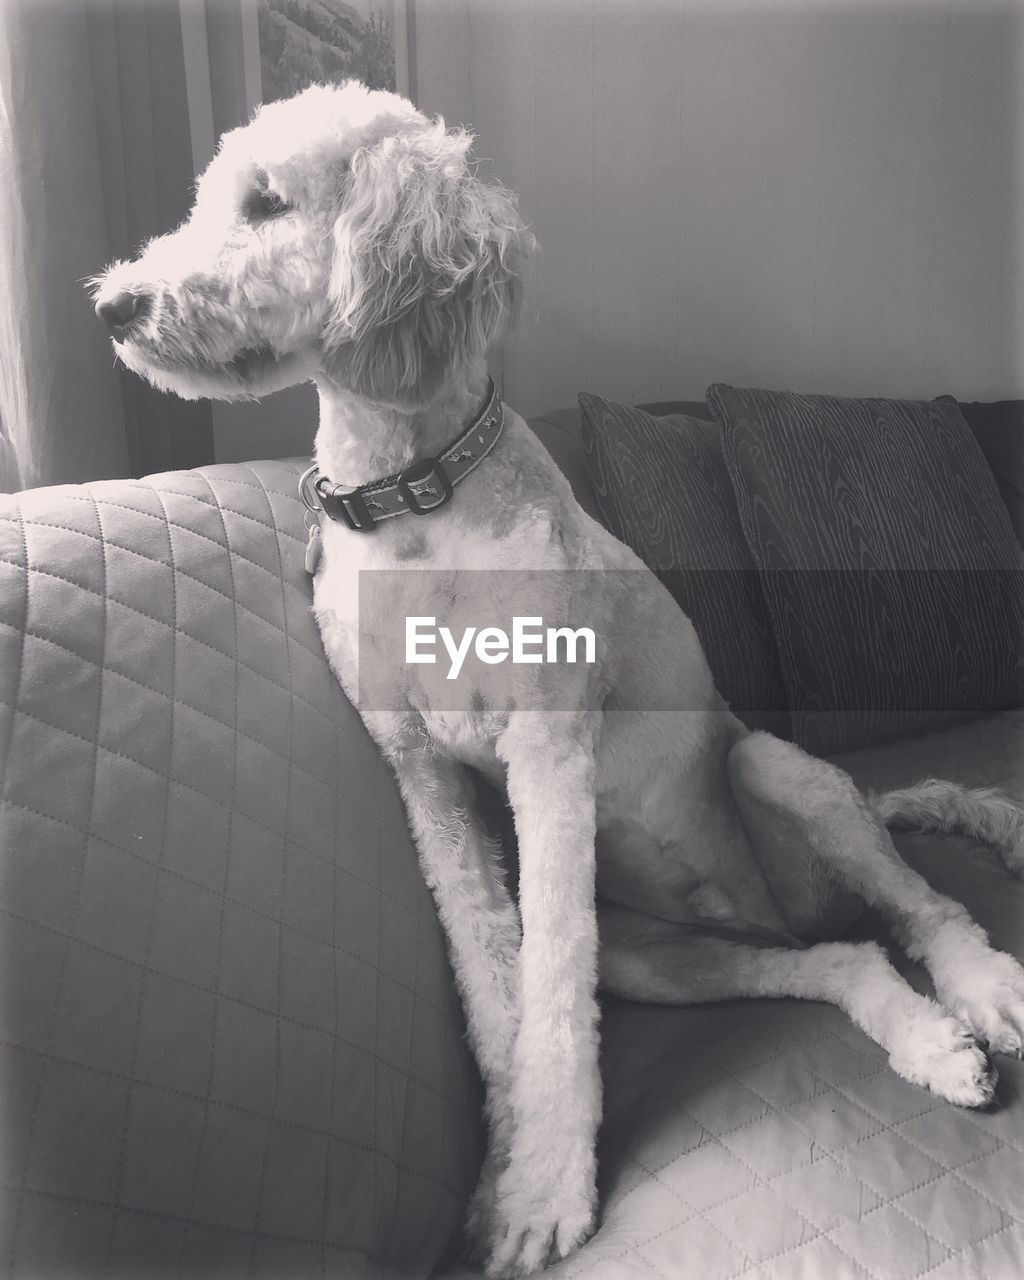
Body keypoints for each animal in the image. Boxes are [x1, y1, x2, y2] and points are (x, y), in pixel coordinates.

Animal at [92, 85, 1024, 1274]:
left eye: (266, 202)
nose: (116, 305)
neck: (412, 500)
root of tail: (779, 907)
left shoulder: (545, 756)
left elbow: (549, 999)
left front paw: (544, 1186)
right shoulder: (426, 781)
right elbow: (499, 988)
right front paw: (508, 1174)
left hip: (779, 772)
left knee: (923, 904)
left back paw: (982, 991)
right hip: (656, 955)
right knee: (843, 954)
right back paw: (921, 1037)